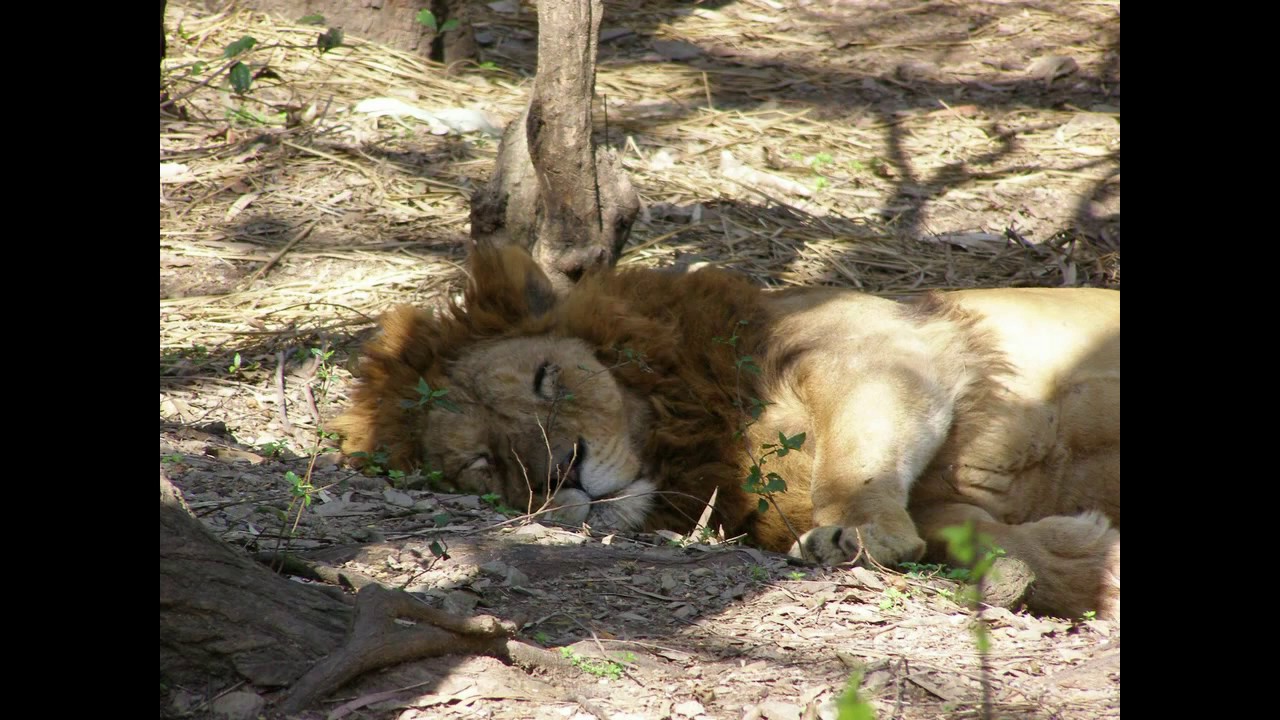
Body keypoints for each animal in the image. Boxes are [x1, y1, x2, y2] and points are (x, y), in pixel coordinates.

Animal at [332, 244, 1121, 617]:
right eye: (480, 462)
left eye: (545, 376)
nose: (565, 473)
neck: (691, 431)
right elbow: (980, 534)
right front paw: (1072, 562)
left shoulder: (881, 344)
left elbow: (853, 463)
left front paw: (857, 533)